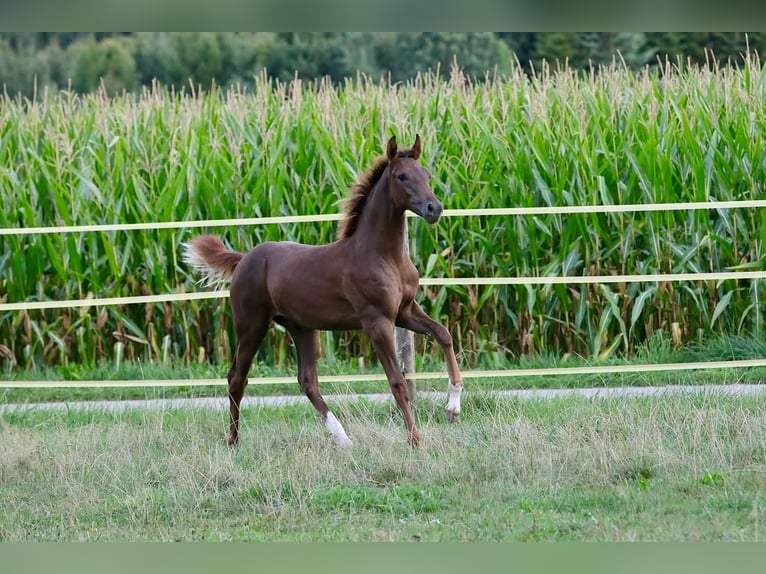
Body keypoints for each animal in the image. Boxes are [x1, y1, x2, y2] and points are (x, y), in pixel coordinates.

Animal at [182, 135, 464, 447]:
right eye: (401, 176)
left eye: (426, 174)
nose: (434, 208)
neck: (383, 256)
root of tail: (244, 259)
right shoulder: (377, 321)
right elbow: (397, 382)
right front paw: (415, 439)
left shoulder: (406, 311)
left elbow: (444, 334)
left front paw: (453, 408)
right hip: (251, 325)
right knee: (236, 378)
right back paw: (233, 441)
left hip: (302, 328)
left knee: (307, 381)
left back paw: (343, 439)